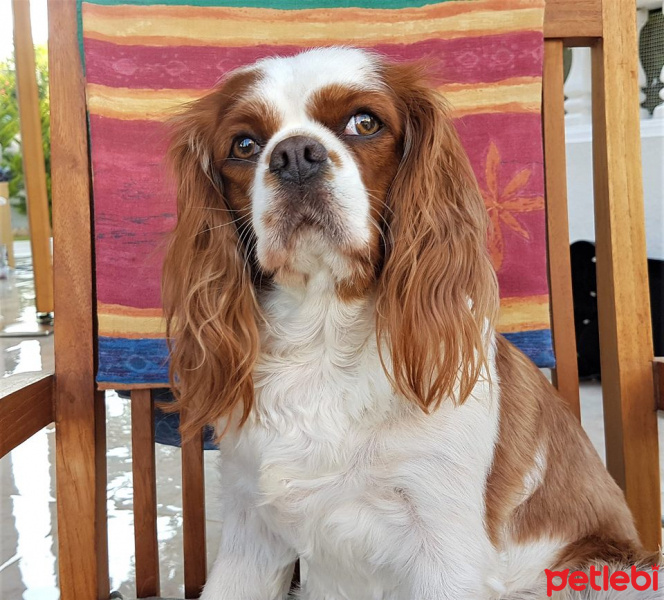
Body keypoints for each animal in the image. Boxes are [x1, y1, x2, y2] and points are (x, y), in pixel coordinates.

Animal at [161, 48, 660, 600]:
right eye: (245, 145)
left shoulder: (446, 551)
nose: (294, 154)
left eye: (364, 122)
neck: (323, 338)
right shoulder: (250, 534)